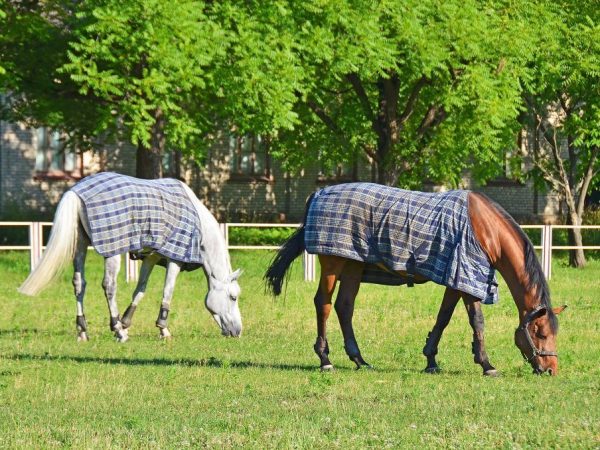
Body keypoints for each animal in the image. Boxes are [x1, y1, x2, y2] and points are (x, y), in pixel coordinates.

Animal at [19, 172, 244, 342]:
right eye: (233, 297)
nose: (237, 331)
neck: (198, 226)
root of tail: (76, 191)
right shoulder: (175, 259)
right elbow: (168, 291)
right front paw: (162, 329)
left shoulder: (152, 257)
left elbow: (140, 289)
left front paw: (127, 323)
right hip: (112, 251)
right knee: (109, 285)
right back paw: (117, 330)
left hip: (80, 245)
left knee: (79, 284)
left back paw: (83, 330)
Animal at [264, 183, 564, 376]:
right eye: (541, 333)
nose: (551, 370)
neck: (486, 228)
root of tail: (317, 194)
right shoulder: (467, 278)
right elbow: (477, 322)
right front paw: (486, 364)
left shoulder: (455, 279)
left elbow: (443, 318)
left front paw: (431, 360)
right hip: (332, 264)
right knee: (323, 305)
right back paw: (325, 359)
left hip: (353, 266)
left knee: (344, 307)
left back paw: (360, 359)